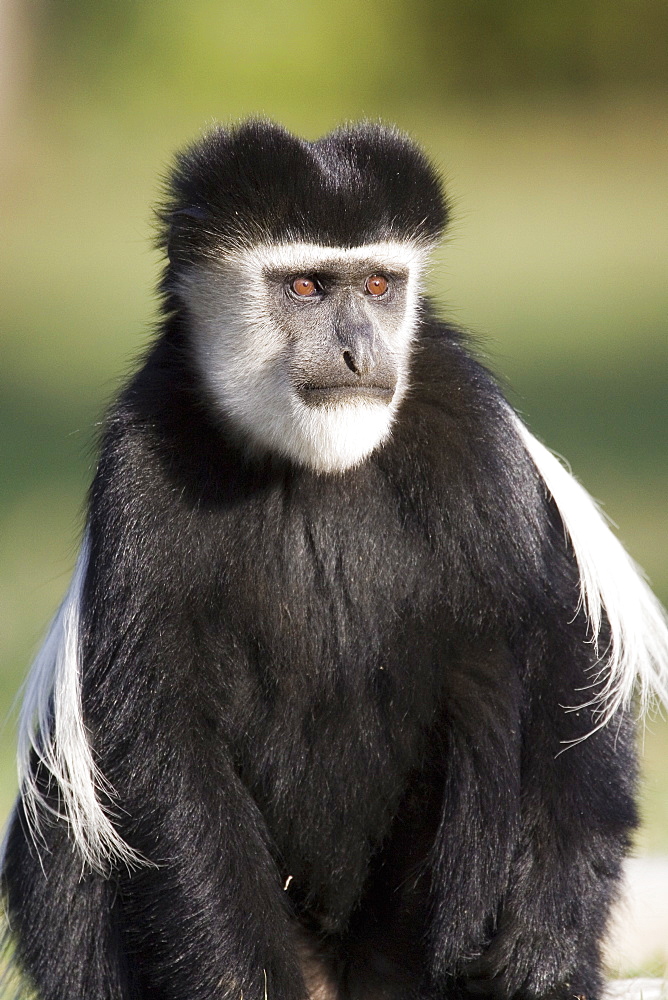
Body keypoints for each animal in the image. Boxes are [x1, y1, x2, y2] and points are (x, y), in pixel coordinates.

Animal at [3, 123, 668, 1000]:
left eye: (381, 283)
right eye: (307, 287)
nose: (359, 353)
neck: (313, 464)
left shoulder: (475, 437)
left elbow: (563, 664)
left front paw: (542, 962)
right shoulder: (141, 469)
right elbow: (161, 743)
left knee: (491, 683)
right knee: (65, 836)